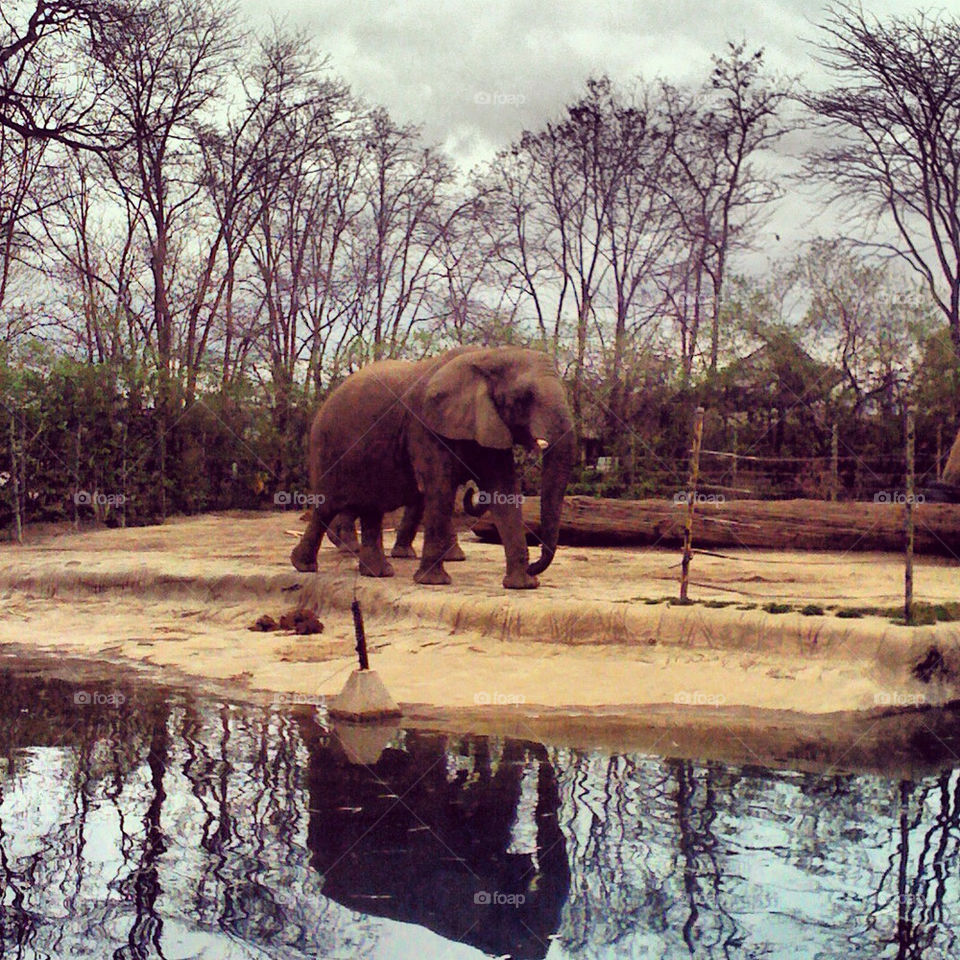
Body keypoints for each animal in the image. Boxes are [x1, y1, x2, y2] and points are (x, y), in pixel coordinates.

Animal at [290, 344, 576, 584]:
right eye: (524, 397)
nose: (535, 565)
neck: (488, 355)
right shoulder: (425, 426)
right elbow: (439, 488)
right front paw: (434, 581)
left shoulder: (487, 421)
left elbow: (503, 489)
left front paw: (523, 584)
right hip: (327, 446)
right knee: (328, 505)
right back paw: (306, 565)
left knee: (371, 508)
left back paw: (377, 572)